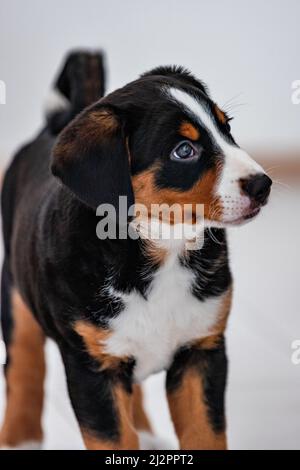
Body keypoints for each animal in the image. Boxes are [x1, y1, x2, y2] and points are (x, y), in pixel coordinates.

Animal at [0, 49, 272, 450]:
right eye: (184, 150)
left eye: (227, 128)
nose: (262, 185)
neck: (164, 250)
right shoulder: (91, 369)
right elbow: (115, 437)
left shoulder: (202, 352)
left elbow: (205, 434)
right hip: (16, 296)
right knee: (23, 368)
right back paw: (20, 439)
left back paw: (146, 434)